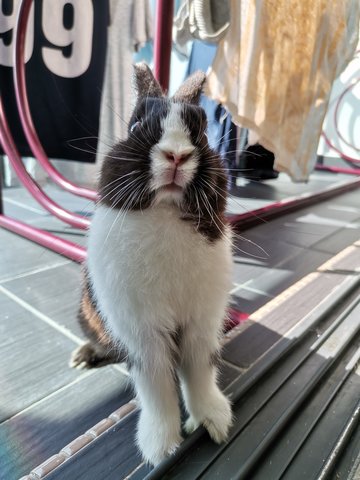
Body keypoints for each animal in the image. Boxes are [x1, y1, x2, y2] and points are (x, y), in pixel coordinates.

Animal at [71, 63, 233, 464]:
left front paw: (214, 422)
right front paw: (160, 447)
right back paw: (83, 356)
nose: (176, 155)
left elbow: (200, 373)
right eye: (134, 127)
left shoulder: (202, 326)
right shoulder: (142, 336)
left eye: (200, 131)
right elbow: (156, 387)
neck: (165, 213)